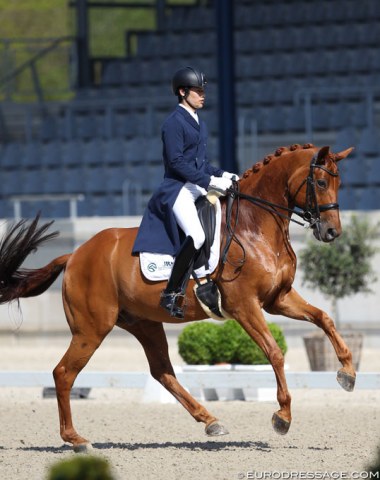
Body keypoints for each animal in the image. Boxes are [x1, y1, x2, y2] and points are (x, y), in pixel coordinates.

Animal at [0, 142, 356, 450]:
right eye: (321, 181)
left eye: (339, 183)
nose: (332, 232)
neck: (254, 227)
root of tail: (74, 255)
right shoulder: (245, 305)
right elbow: (275, 352)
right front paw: (282, 416)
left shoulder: (278, 299)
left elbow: (324, 318)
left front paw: (347, 373)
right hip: (92, 329)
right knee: (63, 374)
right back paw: (76, 439)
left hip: (143, 323)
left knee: (162, 372)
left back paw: (211, 421)